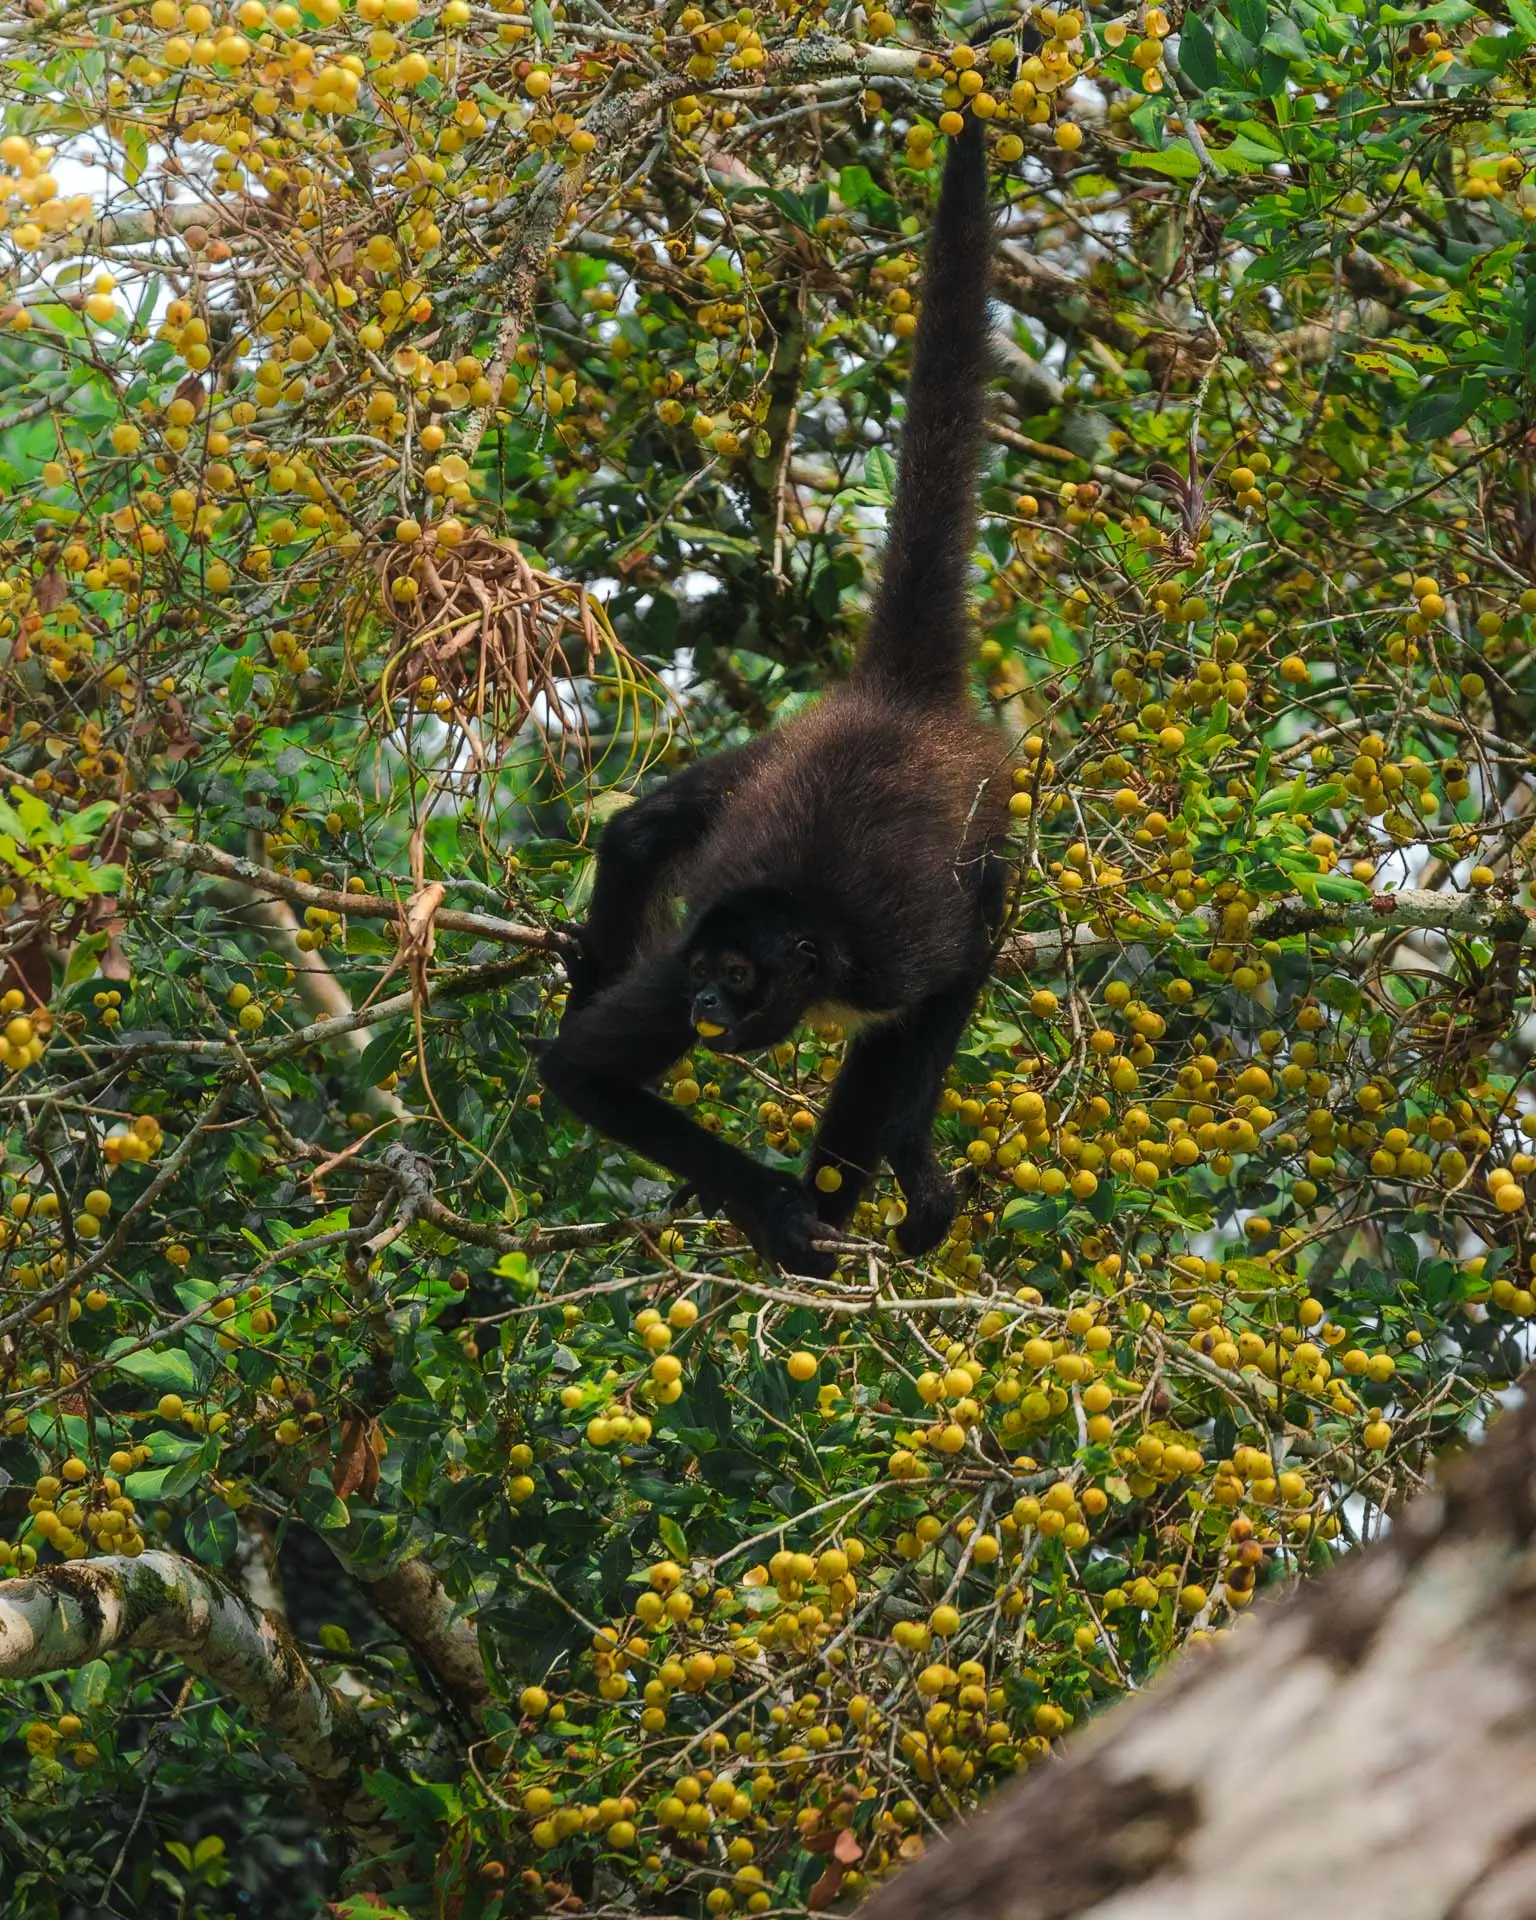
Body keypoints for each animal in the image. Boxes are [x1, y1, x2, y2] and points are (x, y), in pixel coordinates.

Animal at [540, 117, 1011, 1280]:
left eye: (739, 978)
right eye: (707, 974)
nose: (709, 1003)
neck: (814, 938)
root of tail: (894, 697)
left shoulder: (896, 948)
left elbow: (952, 975)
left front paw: (893, 1166)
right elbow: (577, 1072)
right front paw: (778, 1213)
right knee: (646, 828)